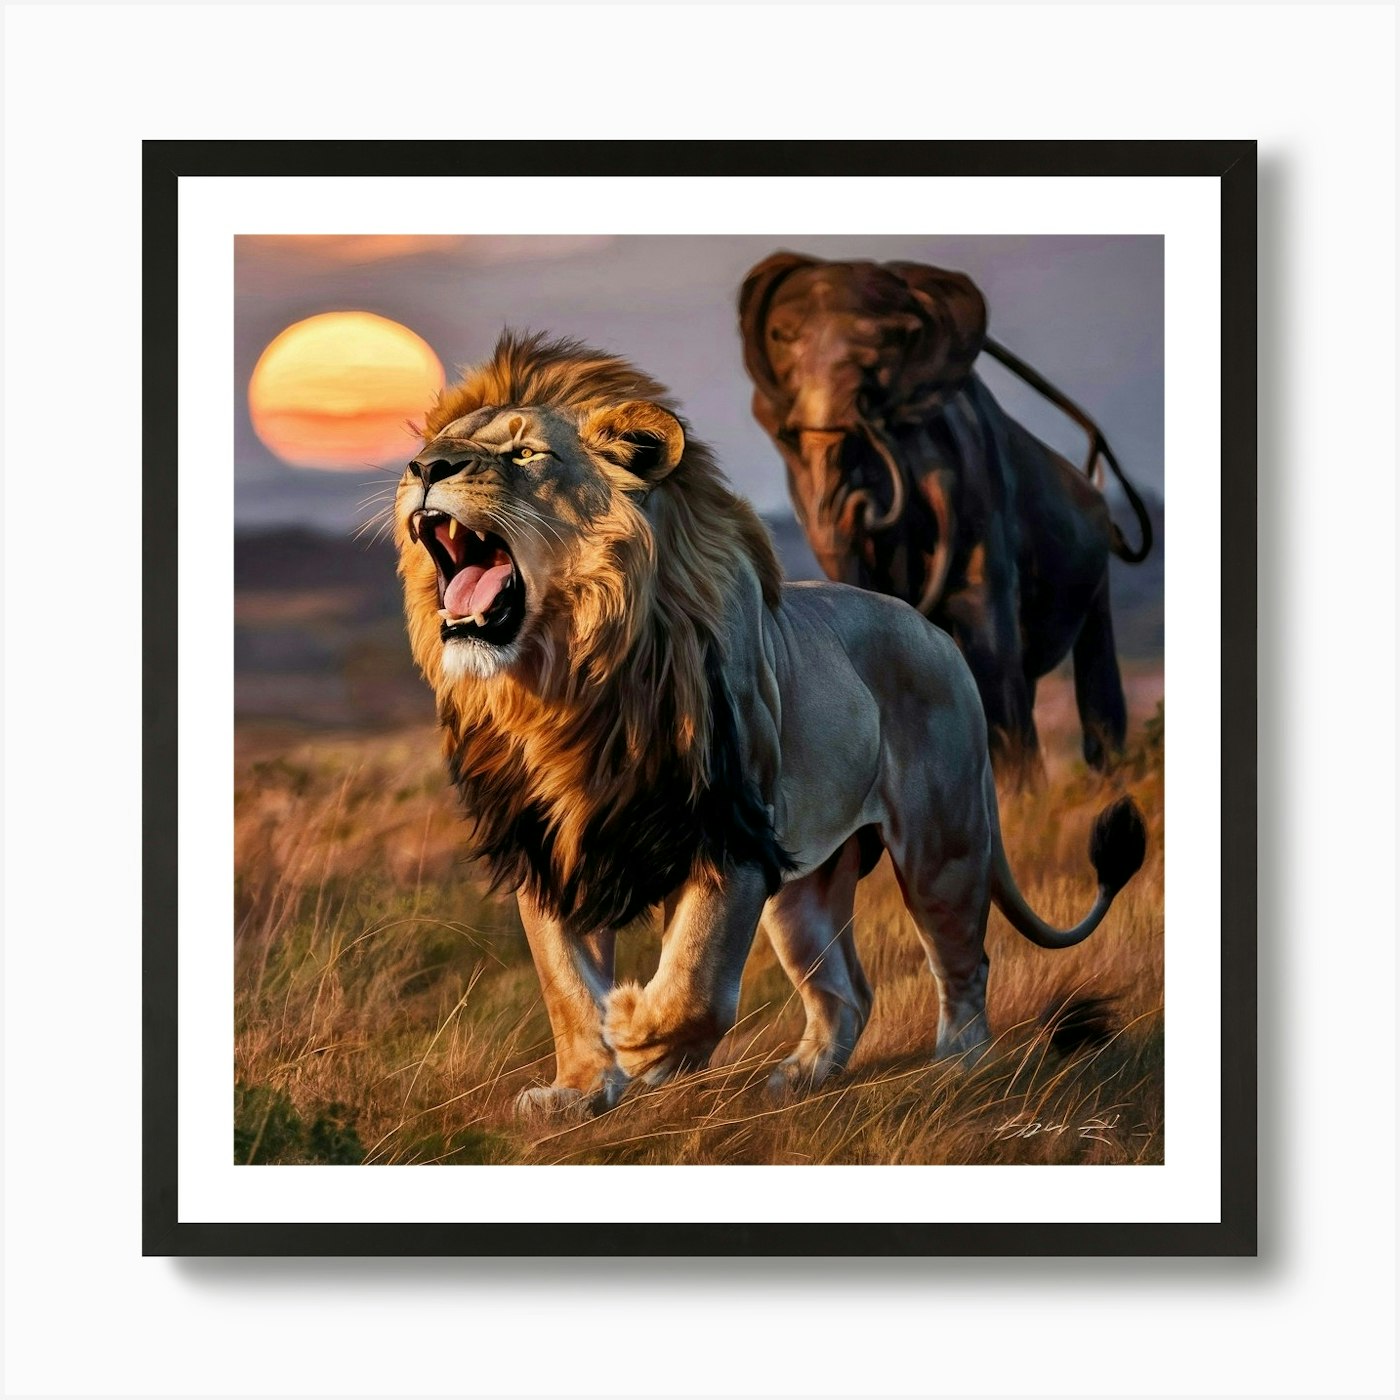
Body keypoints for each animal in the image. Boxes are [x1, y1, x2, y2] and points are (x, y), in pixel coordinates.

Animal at [394, 332, 1147, 1119]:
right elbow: (565, 984)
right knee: (848, 991)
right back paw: (801, 1077)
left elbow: (697, 974)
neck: (565, 688)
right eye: (437, 448)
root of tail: (935, 633)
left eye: (524, 455)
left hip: (945, 845)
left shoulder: (732, 830)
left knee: (965, 960)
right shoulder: (549, 848)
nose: (426, 468)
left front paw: (642, 1039)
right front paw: (578, 1090)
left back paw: (960, 1066)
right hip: (806, 889)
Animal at [738, 251, 1153, 780]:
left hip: (1096, 571)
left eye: (893, 342)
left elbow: (987, 638)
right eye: (780, 337)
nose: (863, 501)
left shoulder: (981, 492)